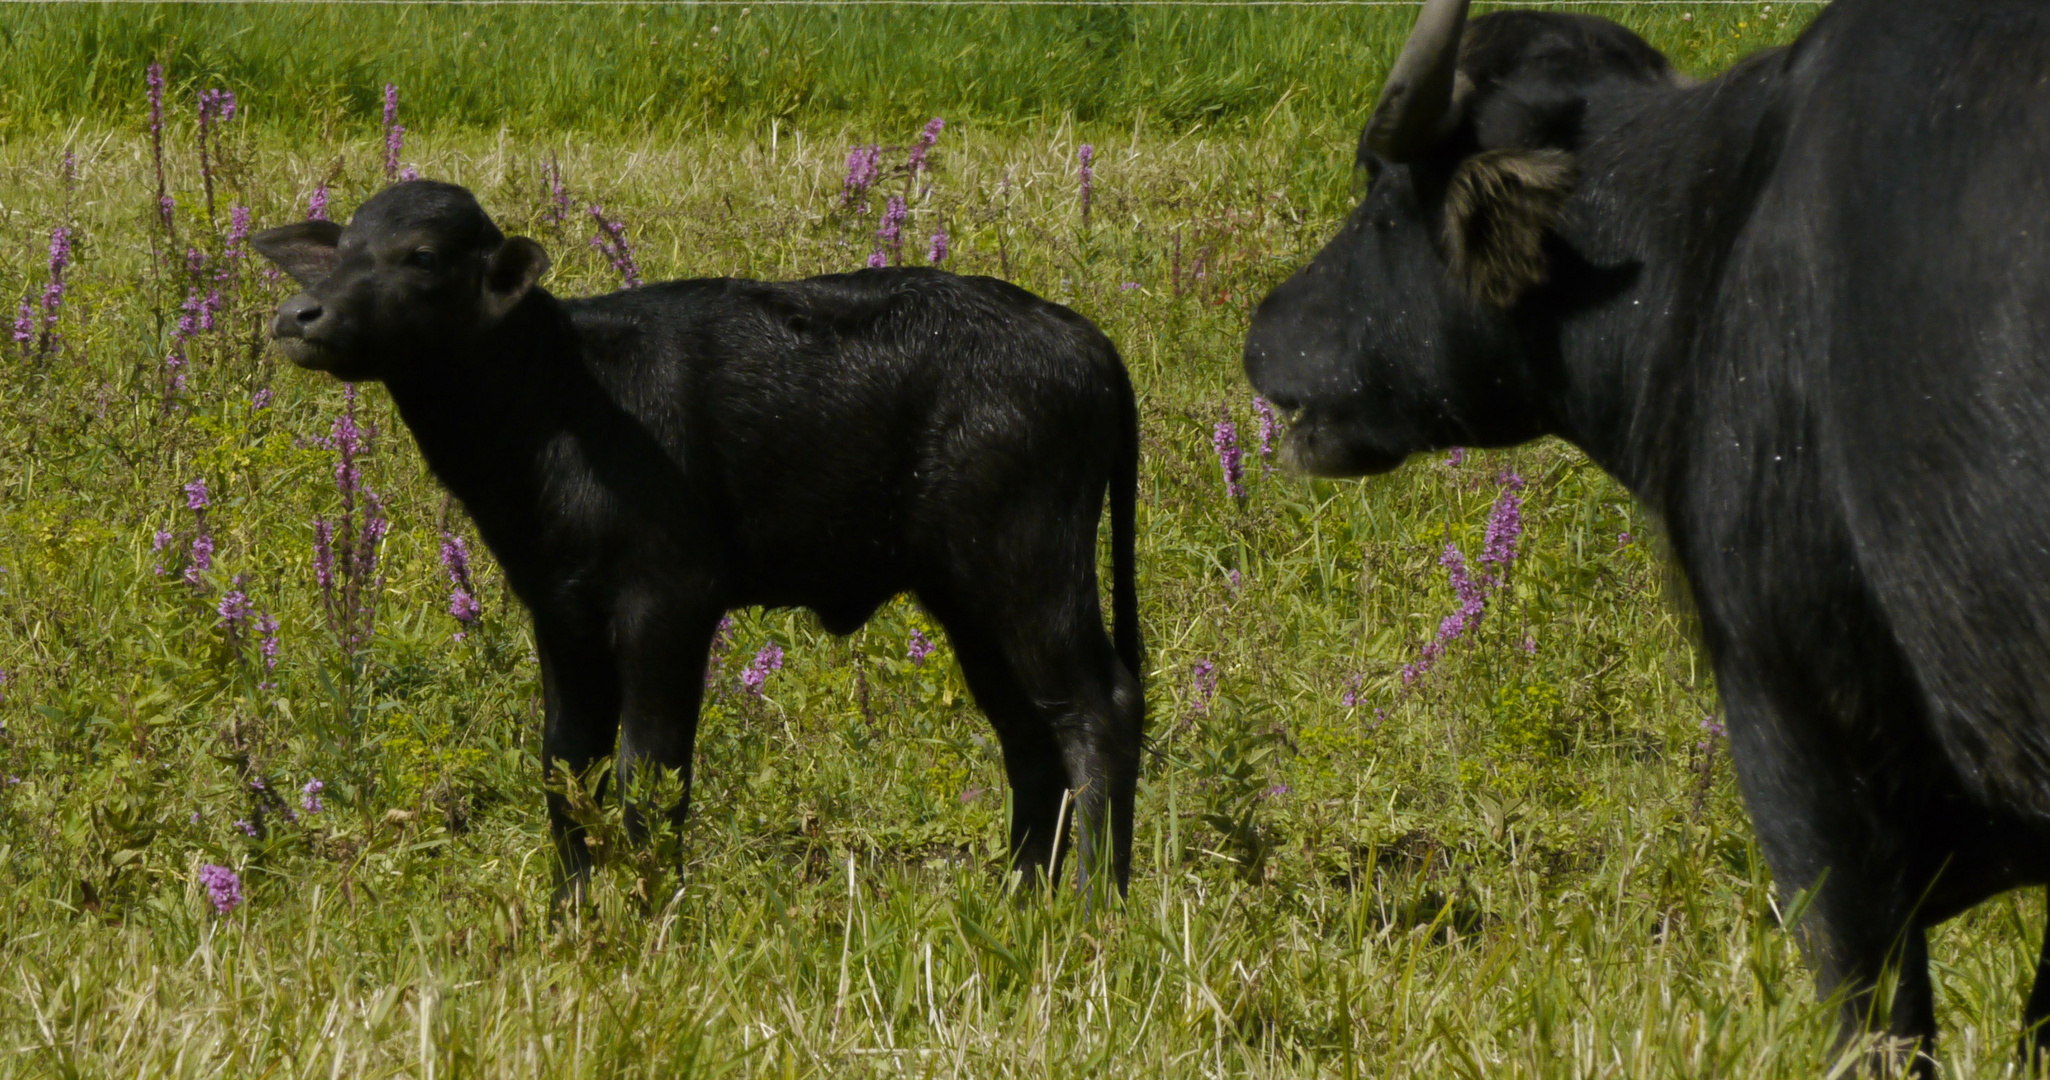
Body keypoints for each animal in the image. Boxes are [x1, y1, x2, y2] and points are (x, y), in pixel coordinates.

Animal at [254, 183, 1148, 897]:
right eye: (342, 251)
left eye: (422, 256)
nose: (298, 316)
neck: (561, 402)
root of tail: (1088, 342)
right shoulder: (561, 608)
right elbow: (566, 764)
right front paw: (573, 909)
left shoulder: (669, 601)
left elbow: (651, 772)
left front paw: (656, 905)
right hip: (966, 591)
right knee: (1030, 734)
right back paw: (1020, 897)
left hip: (1031, 564)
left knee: (1098, 708)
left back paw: (1093, 900)